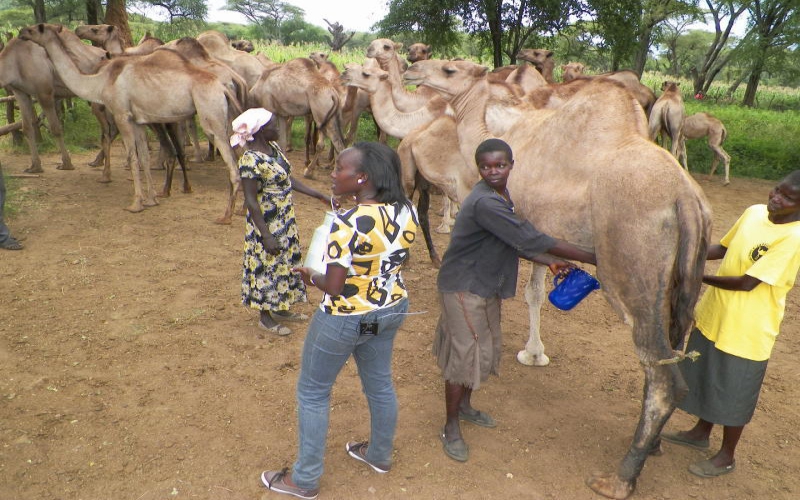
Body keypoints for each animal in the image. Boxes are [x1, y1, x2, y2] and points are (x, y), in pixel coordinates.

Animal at [20, 21, 242, 221]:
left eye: (37, 28)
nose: (22, 31)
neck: (100, 82)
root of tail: (223, 87)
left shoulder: (121, 115)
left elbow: (132, 157)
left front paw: (136, 203)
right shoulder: (137, 121)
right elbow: (143, 156)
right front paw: (152, 199)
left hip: (211, 116)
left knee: (232, 163)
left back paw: (226, 216)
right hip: (227, 118)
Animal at [406, 59, 712, 500]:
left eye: (449, 69)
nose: (412, 68)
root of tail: (686, 198)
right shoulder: (536, 230)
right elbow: (532, 290)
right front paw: (532, 352)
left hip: (629, 268)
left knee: (663, 374)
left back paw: (620, 478)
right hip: (685, 276)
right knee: (671, 348)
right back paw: (652, 446)